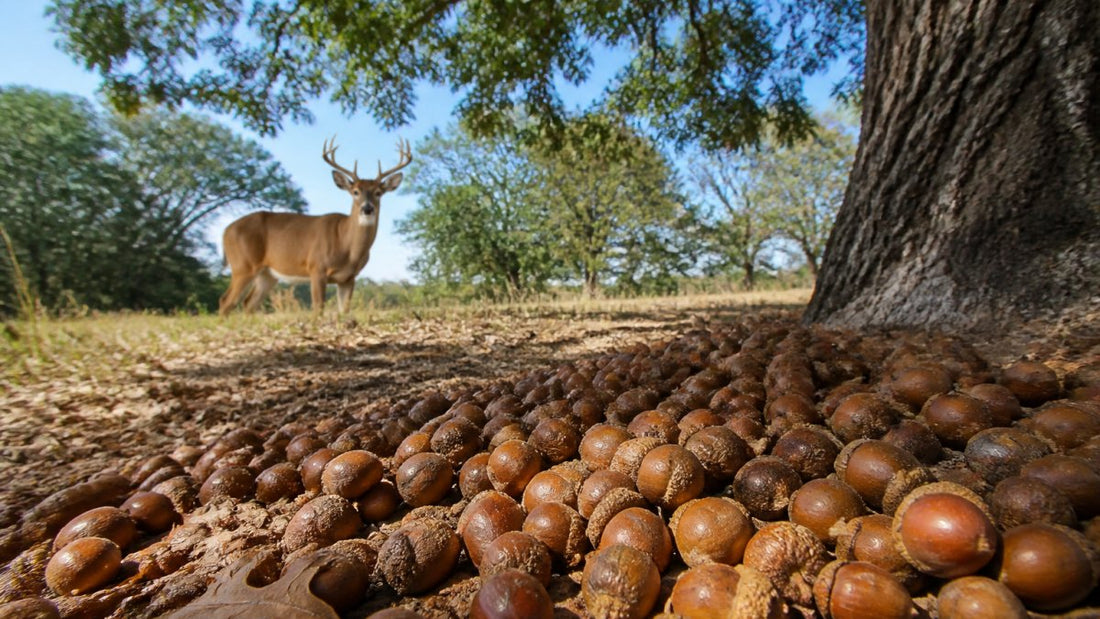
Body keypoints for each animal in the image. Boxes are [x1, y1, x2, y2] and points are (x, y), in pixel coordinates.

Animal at [219, 137, 412, 316]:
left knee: (249, 303)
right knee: (226, 301)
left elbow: (344, 311)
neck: (347, 246)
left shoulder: (349, 278)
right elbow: (318, 309)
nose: (367, 208)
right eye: (355, 191)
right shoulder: (316, 268)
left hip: (267, 274)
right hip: (243, 265)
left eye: (378, 193)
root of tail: (226, 231)